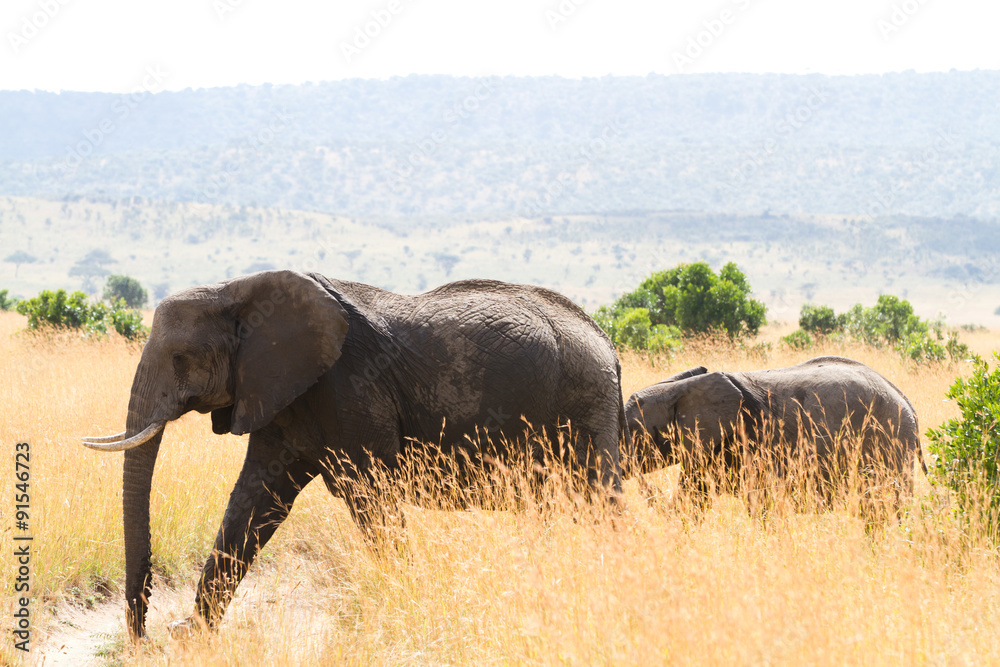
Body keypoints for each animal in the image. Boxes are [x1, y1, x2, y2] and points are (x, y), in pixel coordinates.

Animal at [82, 270, 626, 640]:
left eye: (180, 358)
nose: (143, 634)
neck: (237, 289)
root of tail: (607, 343)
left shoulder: (349, 387)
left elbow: (369, 497)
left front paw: (404, 606)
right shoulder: (280, 391)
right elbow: (256, 499)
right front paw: (193, 635)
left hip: (584, 402)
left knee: (597, 501)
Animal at [623, 356, 924, 512]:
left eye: (634, 432)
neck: (680, 388)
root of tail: (906, 401)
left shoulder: (746, 438)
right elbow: (695, 497)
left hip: (889, 440)